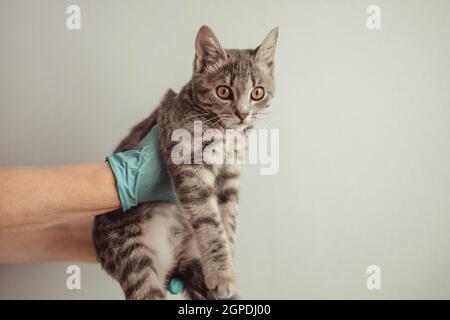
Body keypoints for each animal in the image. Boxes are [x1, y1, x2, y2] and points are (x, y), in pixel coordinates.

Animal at [93, 25, 278, 300]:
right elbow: (209, 220)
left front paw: (226, 260)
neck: (225, 132)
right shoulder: (189, 163)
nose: (243, 114)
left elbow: (228, 217)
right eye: (224, 91)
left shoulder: (231, 173)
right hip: (131, 250)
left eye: (257, 93)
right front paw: (222, 273)